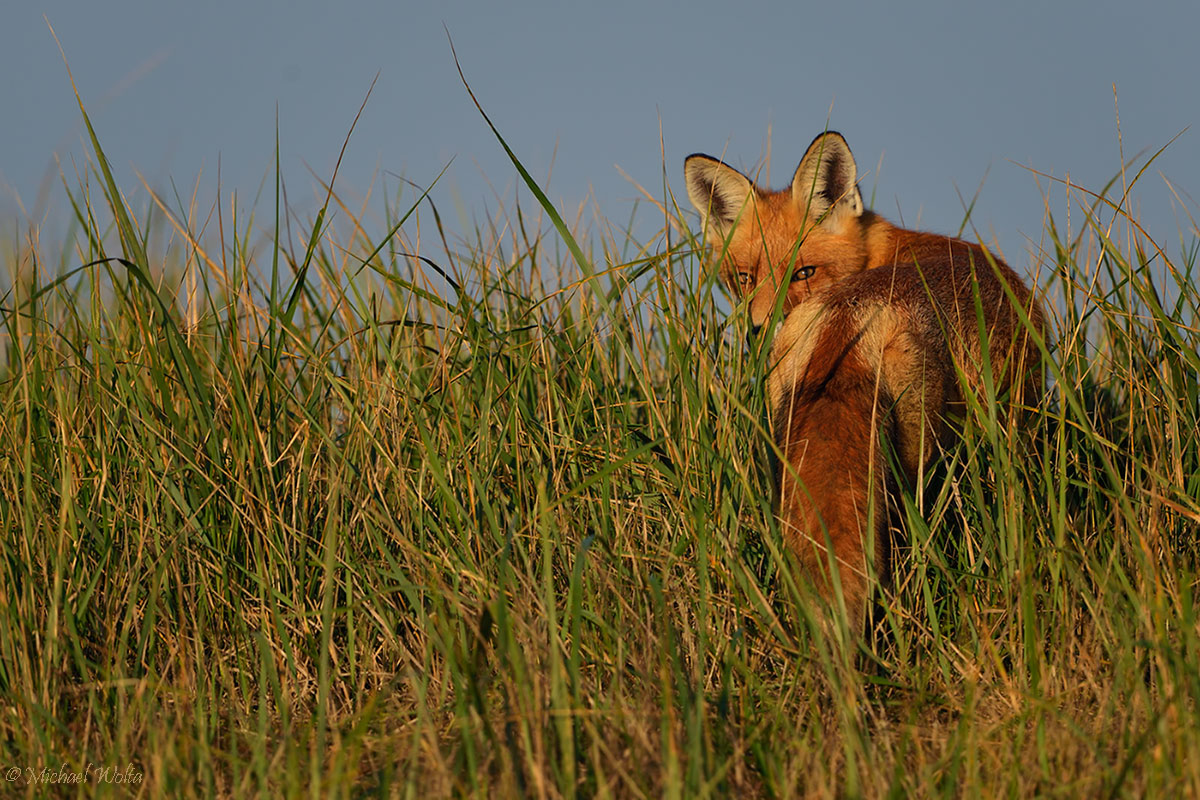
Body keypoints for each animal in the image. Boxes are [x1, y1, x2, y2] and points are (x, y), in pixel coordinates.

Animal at [691, 133, 1046, 633]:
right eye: (745, 278)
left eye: (805, 272)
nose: (760, 330)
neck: (881, 254)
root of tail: (849, 318)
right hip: (919, 458)